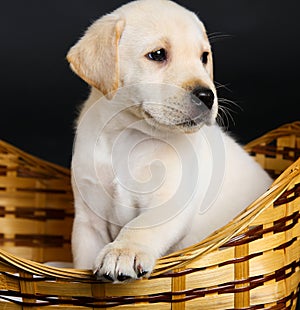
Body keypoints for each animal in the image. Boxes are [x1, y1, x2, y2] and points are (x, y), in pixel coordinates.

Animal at [67, 0, 272, 282]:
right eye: (157, 54)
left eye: (203, 57)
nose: (207, 96)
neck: (127, 134)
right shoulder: (89, 222)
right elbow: (84, 260)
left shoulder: (170, 202)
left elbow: (140, 225)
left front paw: (123, 251)